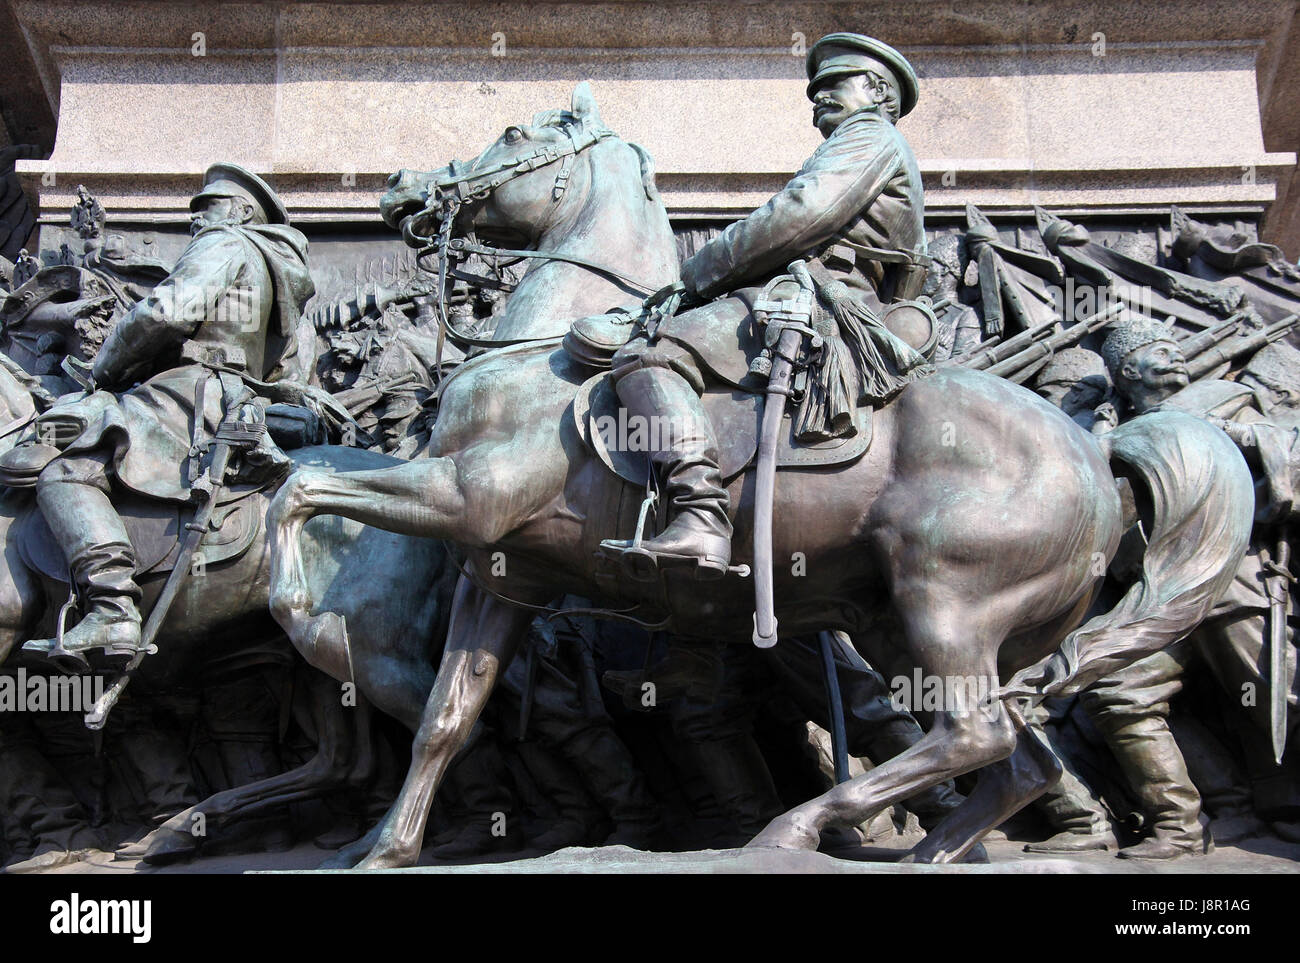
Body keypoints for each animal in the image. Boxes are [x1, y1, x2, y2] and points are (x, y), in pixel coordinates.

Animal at [266, 82, 1258, 868]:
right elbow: (446, 715)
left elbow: (299, 492)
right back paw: (926, 850)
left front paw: (305, 617)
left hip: (947, 602)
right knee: (1017, 755)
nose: (403, 187)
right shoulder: (503, 573)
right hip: (901, 623)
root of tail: (1095, 452)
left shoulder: (462, 498)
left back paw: (799, 826)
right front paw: (386, 848)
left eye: (514, 132)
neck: (543, 344)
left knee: (972, 732)